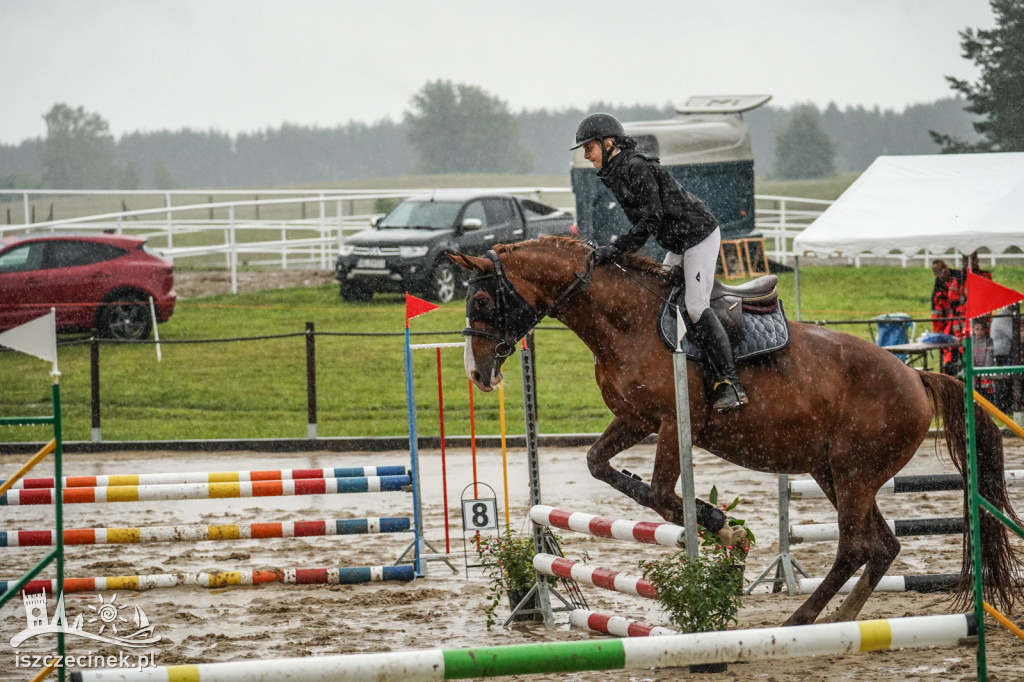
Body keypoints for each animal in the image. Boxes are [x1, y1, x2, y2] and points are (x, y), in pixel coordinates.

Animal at [450, 236, 1024, 622]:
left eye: (482, 301)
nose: (477, 374)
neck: (623, 319)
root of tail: (916, 375)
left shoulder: (671, 424)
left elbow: (661, 493)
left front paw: (722, 527)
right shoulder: (635, 420)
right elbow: (602, 467)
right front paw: (717, 523)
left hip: (854, 471)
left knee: (855, 546)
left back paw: (801, 620)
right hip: (833, 471)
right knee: (881, 546)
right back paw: (838, 620)